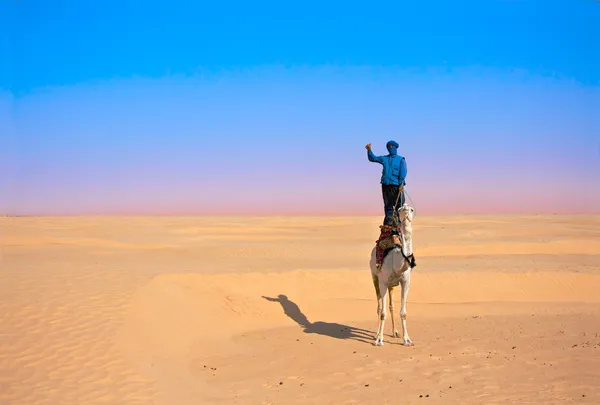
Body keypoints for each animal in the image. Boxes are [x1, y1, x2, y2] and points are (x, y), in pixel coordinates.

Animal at [368, 204, 414, 346]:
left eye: (412, 209)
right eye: (399, 209)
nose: (406, 210)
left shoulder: (406, 282)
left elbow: (403, 312)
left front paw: (407, 339)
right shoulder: (382, 282)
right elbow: (383, 312)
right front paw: (379, 339)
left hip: (391, 285)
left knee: (391, 305)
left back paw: (395, 332)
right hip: (375, 277)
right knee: (379, 306)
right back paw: (376, 334)